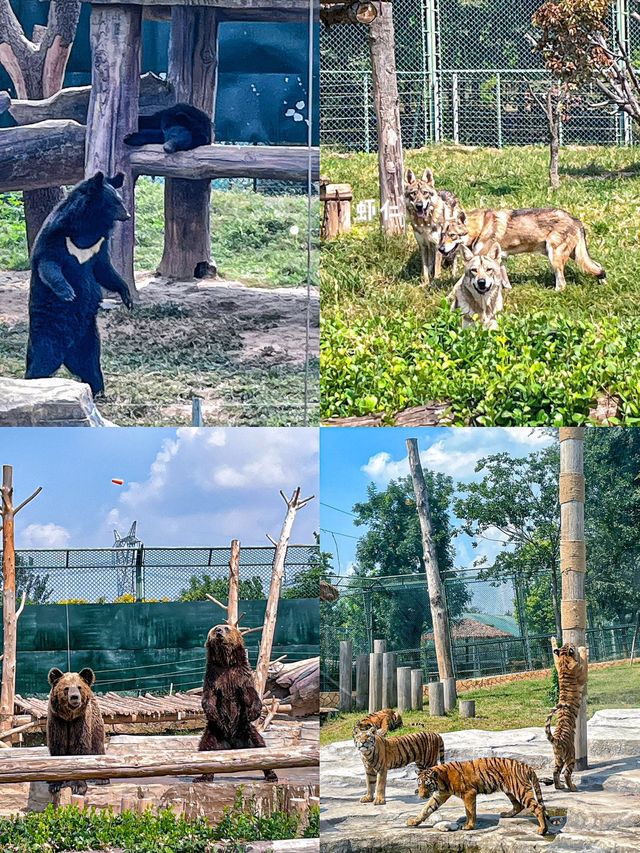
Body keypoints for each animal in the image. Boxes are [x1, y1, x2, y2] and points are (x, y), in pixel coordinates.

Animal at [25, 173, 133, 400]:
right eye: (114, 202)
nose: (127, 215)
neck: (88, 227)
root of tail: (67, 352)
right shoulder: (57, 237)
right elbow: (49, 264)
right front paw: (68, 293)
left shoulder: (98, 245)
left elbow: (105, 271)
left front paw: (127, 298)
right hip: (46, 333)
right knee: (41, 361)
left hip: (88, 336)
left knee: (90, 365)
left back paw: (98, 390)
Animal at [47, 664, 108, 792]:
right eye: (66, 688)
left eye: (79, 687)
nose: (74, 697)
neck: (69, 717)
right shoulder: (57, 721)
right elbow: (58, 746)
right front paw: (55, 784)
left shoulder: (80, 721)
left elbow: (79, 746)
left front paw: (77, 785)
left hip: (95, 724)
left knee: (97, 746)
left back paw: (101, 779)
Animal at [198, 620, 278, 780]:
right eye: (215, 629)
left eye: (226, 628)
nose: (219, 631)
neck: (226, 662)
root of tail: (232, 743)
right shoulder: (213, 676)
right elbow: (209, 696)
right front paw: (213, 713)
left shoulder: (240, 675)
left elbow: (250, 694)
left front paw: (254, 712)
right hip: (213, 733)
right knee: (205, 749)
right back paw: (203, 777)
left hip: (246, 730)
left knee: (260, 746)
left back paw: (271, 774)